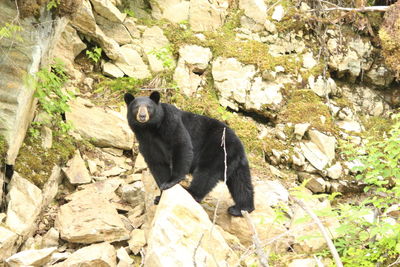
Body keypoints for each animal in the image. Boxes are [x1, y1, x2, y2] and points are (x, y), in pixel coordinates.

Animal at [123, 92, 255, 218]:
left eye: (149, 107)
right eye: (136, 107)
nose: (142, 116)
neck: (150, 129)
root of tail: (239, 144)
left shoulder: (171, 123)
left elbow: (181, 145)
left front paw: (171, 182)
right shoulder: (146, 142)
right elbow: (157, 164)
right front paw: (160, 195)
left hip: (217, 149)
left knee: (206, 173)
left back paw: (191, 192)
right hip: (235, 161)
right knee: (241, 182)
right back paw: (241, 208)